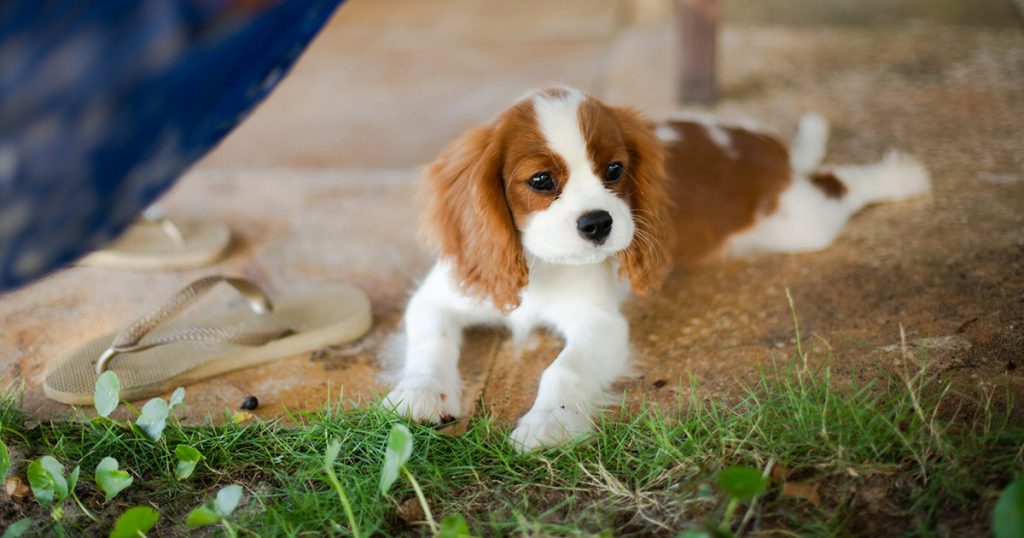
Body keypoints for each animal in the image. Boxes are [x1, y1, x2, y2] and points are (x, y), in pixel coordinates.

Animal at [382, 87, 929, 448]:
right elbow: (430, 343)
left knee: (838, 184)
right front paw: (419, 394)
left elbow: (563, 370)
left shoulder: (601, 325)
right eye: (540, 180)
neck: (543, 264)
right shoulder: (440, 295)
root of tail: (764, 148)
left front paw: (550, 423)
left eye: (614, 171)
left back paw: (901, 176)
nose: (599, 223)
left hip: (801, 223)